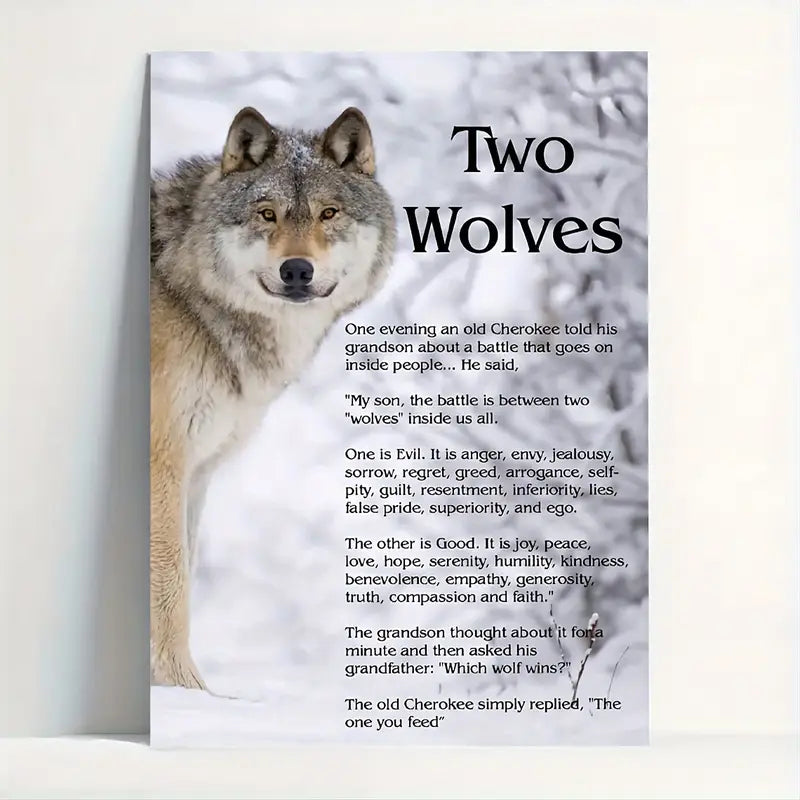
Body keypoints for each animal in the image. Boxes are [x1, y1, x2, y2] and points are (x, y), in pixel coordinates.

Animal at [150, 106, 396, 690]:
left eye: (329, 213)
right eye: (268, 214)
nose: (297, 270)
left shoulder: (198, 471)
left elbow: (183, 574)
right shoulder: (164, 462)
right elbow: (172, 582)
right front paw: (185, 691)